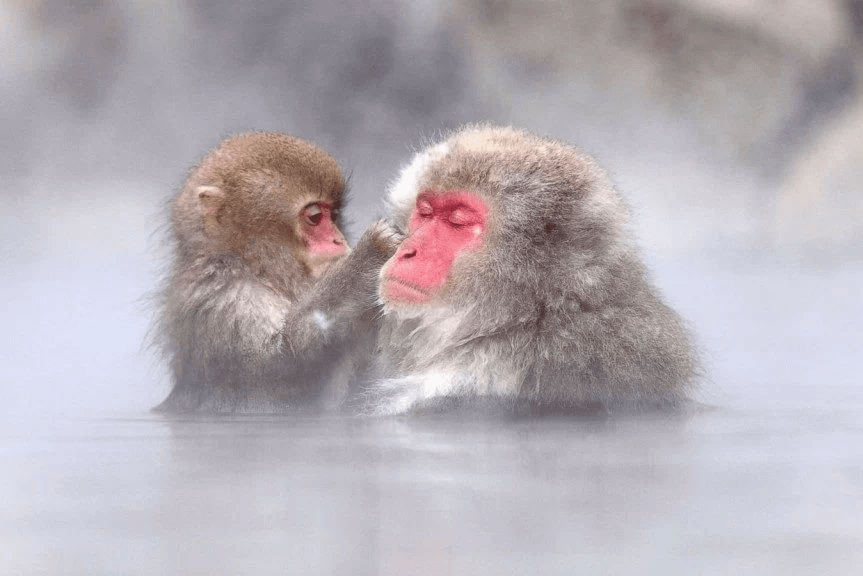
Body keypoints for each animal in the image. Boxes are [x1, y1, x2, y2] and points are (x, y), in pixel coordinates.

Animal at [151, 131, 401, 413]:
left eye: (334, 215)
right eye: (315, 216)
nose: (339, 240)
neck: (254, 268)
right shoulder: (227, 300)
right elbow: (283, 365)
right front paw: (369, 256)